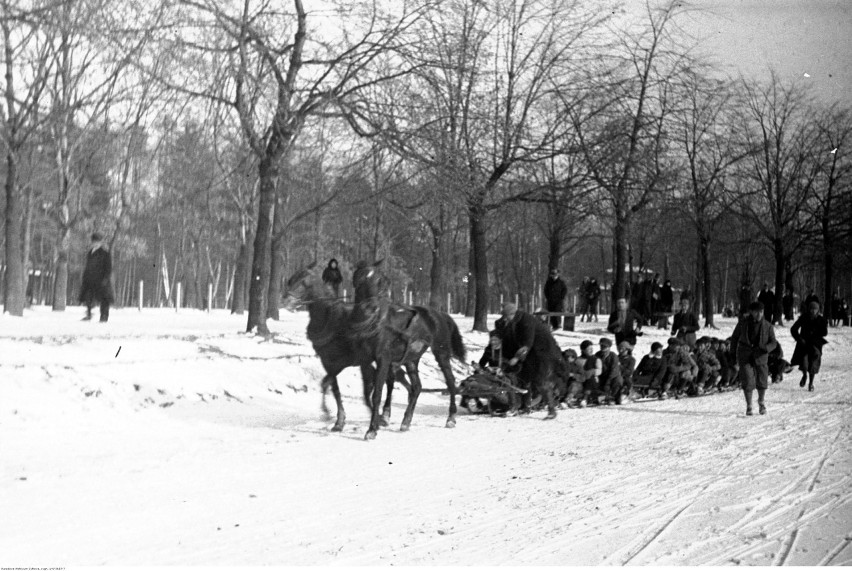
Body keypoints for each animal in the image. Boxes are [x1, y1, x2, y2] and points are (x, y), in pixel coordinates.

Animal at [352, 262, 470, 440]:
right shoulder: (366, 362)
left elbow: (377, 393)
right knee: (417, 387)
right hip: (411, 360)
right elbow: (368, 394)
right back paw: (406, 421)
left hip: (441, 353)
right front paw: (381, 419)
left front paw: (372, 429)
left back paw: (451, 418)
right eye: (360, 279)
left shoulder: (383, 359)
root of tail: (439, 314)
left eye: (381, 281)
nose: (372, 307)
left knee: (450, 382)